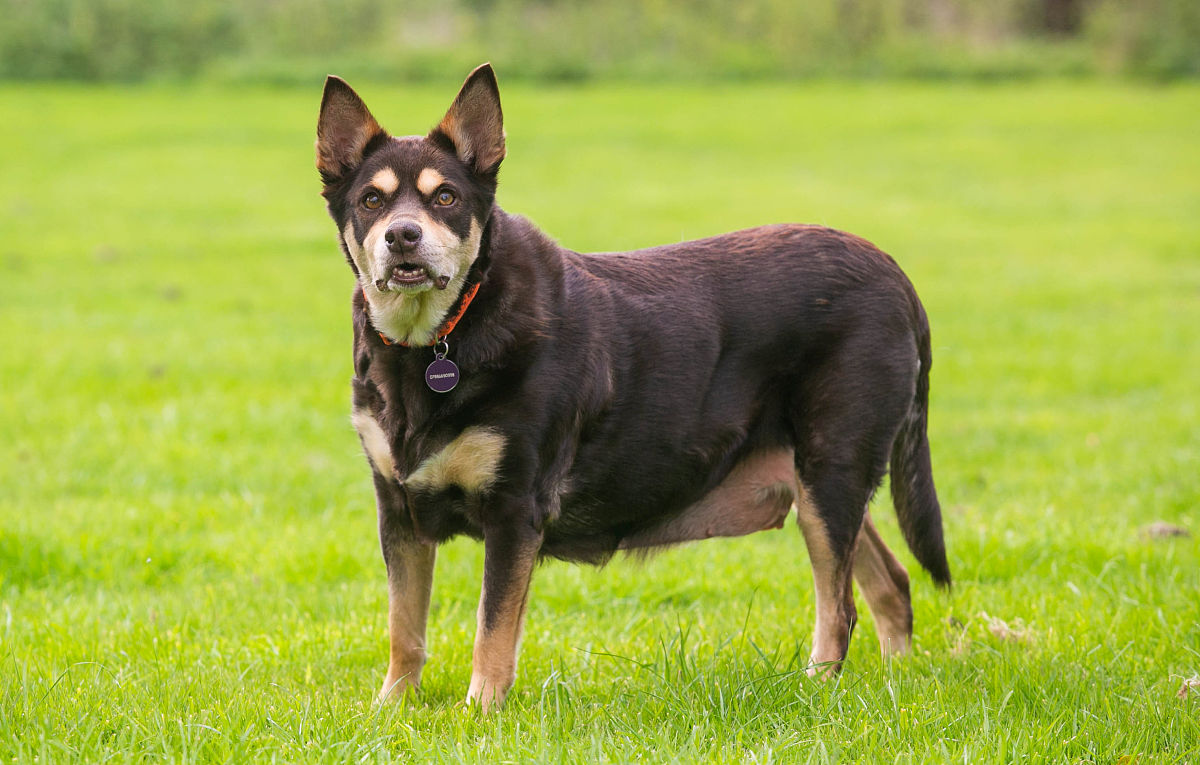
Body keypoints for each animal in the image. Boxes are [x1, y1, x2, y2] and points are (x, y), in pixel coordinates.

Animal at [314, 64, 950, 714]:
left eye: (446, 197)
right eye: (371, 200)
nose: (402, 236)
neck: (437, 342)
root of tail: (897, 278)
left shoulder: (515, 509)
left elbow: (491, 632)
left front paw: (481, 713)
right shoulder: (397, 509)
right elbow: (404, 627)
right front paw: (391, 708)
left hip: (832, 469)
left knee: (839, 606)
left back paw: (816, 688)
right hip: (815, 480)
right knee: (890, 584)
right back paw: (896, 684)